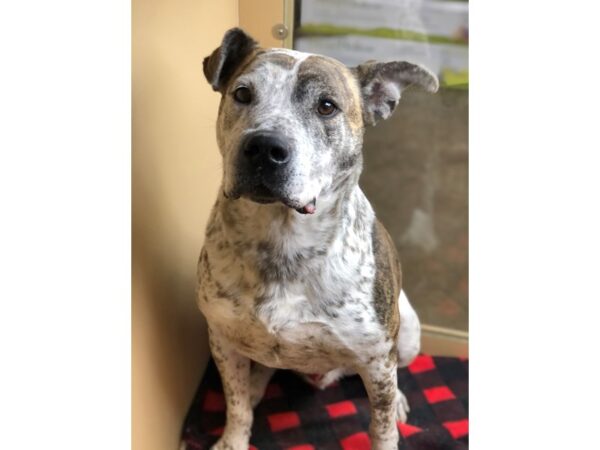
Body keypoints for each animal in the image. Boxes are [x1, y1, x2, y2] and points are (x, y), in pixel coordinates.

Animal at [199, 29, 438, 450]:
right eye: (242, 93)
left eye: (326, 106)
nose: (264, 147)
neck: (282, 243)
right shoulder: (223, 342)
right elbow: (236, 405)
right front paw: (232, 440)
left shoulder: (377, 359)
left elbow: (381, 426)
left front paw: (390, 421)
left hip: (408, 333)